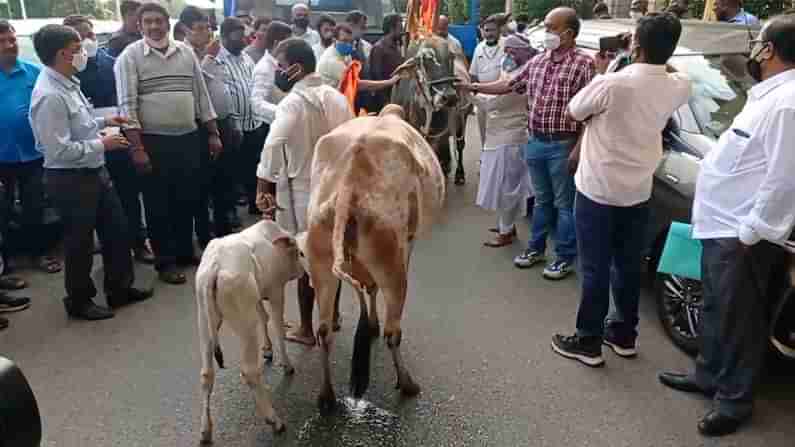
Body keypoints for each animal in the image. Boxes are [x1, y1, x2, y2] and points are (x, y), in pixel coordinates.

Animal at [194, 220, 304, 444]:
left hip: (205, 323)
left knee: (206, 375)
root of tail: (216, 265)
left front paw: (268, 349)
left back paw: (205, 431)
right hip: (245, 325)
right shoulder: (276, 292)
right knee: (250, 371)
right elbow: (278, 327)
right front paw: (286, 364)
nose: (303, 272)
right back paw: (274, 420)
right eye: (298, 251)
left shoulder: (259, 297)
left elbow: (264, 317)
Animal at [300, 104, 448, 410]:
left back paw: (326, 396)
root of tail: (348, 184)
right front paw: (372, 325)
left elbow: (366, 288)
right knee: (394, 332)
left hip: (321, 262)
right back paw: (407, 383)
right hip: (391, 265)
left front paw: (369, 324)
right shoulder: (407, 246)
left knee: (324, 331)